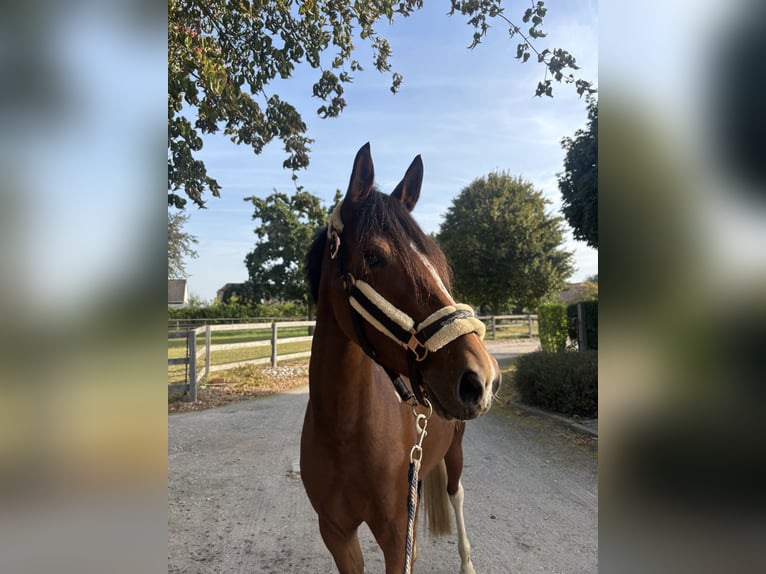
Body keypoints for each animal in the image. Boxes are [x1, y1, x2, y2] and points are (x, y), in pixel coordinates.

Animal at [301, 143, 501, 574]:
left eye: (439, 262)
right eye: (374, 256)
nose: (483, 377)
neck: (343, 430)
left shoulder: (394, 536)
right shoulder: (336, 533)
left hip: (455, 453)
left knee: (457, 494)